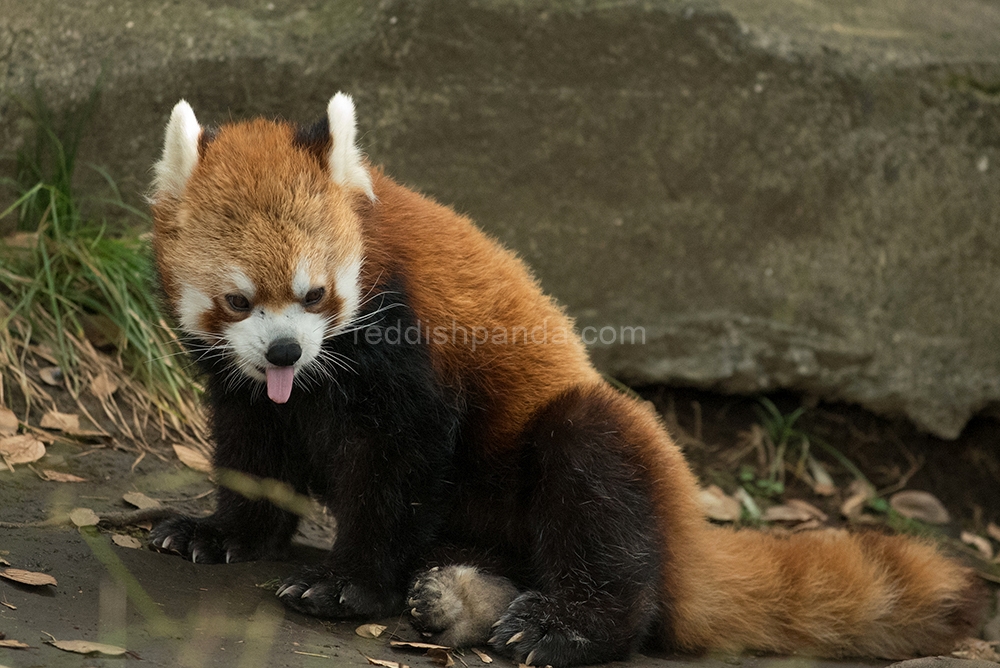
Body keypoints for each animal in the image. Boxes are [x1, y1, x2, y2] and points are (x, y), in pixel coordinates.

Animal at [150, 91, 984, 664]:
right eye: (239, 301)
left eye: (316, 293)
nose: (286, 353)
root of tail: (690, 529)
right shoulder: (248, 385)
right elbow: (253, 448)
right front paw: (222, 531)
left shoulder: (410, 354)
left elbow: (393, 472)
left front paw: (346, 582)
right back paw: (464, 599)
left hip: (594, 453)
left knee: (595, 474)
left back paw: (565, 626)